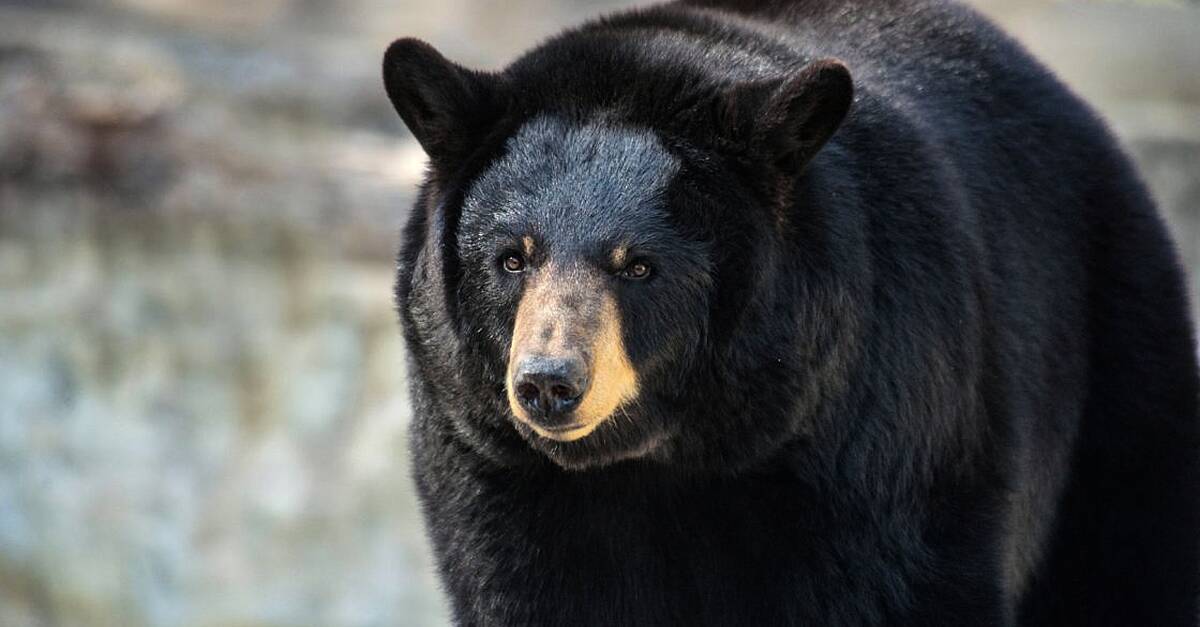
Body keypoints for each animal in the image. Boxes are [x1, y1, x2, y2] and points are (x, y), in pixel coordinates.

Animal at [382, 0, 1200, 624]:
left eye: (638, 265)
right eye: (512, 257)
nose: (550, 381)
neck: (665, 459)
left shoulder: (883, 445)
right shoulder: (493, 472)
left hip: (1115, 365)